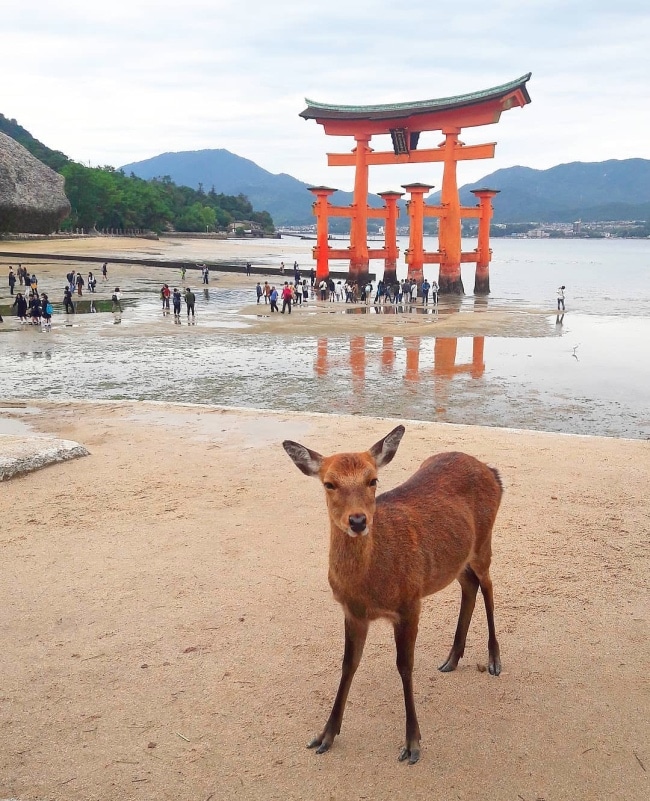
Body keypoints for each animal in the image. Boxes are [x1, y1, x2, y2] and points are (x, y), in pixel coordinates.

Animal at [282, 424, 502, 764]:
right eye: (329, 483)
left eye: (373, 480)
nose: (358, 520)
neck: (369, 587)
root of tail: (492, 471)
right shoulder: (353, 612)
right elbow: (348, 664)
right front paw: (325, 735)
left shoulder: (410, 602)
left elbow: (404, 665)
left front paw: (412, 743)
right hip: (457, 559)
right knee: (470, 585)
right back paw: (452, 658)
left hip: (483, 543)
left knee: (489, 585)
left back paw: (493, 659)